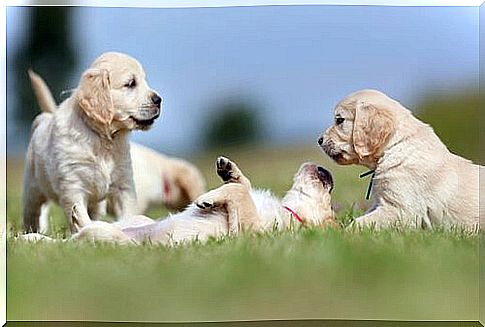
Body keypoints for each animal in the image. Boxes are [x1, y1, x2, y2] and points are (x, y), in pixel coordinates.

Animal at [22, 52, 162, 233]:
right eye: (131, 83)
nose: (159, 100)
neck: (103, 139)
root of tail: (46, 117)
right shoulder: (73, 187)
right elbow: (81, 216)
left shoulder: (124, 185)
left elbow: (128, 213)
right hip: (32, 190)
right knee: (31, 214)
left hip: (96, 204)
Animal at [318, 89, 480, 232]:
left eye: (339, 120)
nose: (319, 140)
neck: (395, 147)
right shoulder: (380, 203)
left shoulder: (401, 210)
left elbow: (359, 223)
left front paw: (341, 233)